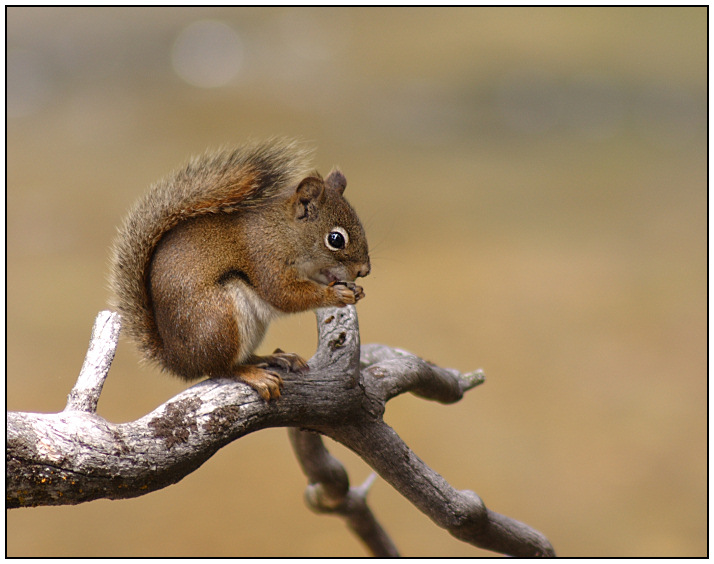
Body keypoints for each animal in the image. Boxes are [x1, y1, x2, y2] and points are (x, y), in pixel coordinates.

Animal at [110, 138, 372, 398]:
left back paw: (275, 358)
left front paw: (355, 290)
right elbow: (284, 294)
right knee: (218, 367)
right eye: (336, 239)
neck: (283, 232)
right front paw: (336, 294)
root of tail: (179, 360)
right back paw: (253, 375)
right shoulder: (265, 259)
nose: (364, 271)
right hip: (219, 320)